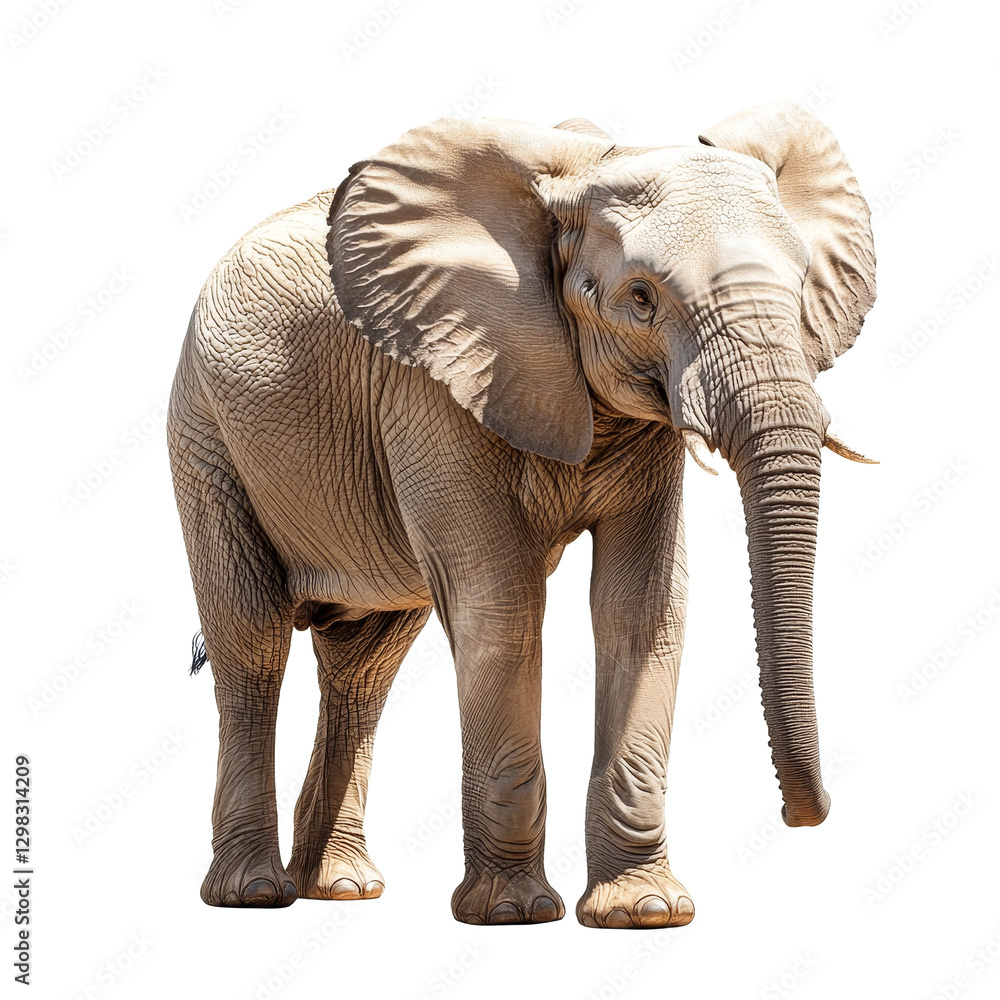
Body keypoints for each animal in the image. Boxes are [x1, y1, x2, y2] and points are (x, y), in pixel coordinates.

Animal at [167, 100, 876, 928]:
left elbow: (642, 607)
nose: (807, 814)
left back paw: (341, 887)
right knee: (251, 639)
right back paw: (253, 894)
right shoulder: (435, 376)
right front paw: (513, 913)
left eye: (802, 285)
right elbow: (501, 602)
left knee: (365, 667)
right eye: (641, 298)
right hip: (206, 433)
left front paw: (644, 911)